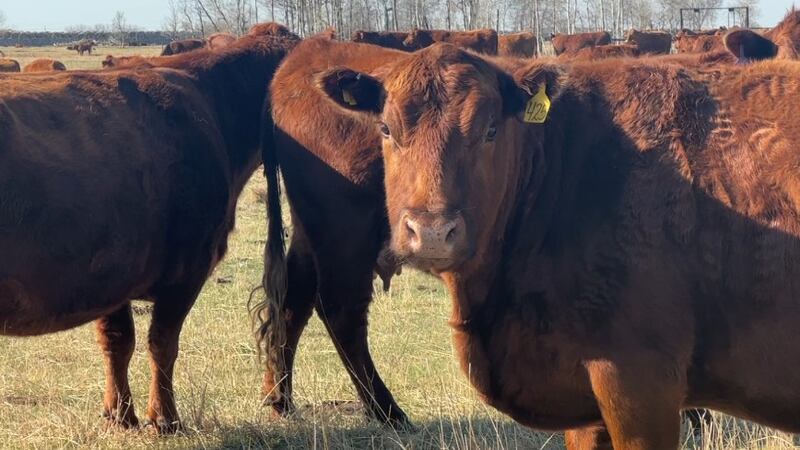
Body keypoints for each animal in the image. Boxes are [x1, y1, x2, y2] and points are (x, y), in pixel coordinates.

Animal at [0, 23, 299, 433]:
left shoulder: (110, 273)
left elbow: (117, 342)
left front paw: (119, 414)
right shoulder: (186, 270)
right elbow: (162, 343)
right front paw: (165, 417)